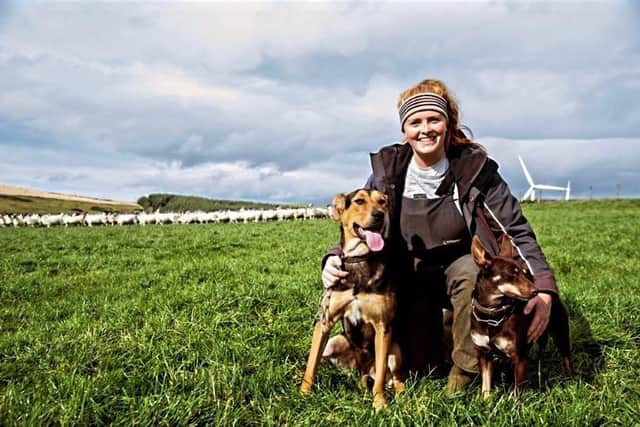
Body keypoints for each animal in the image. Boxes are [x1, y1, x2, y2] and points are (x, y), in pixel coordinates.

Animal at [302, 190, 402, 412]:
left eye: (382, 202)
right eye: (359, 201)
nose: (379, 215)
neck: (359, 258)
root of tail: (362, 369)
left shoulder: (383, 327)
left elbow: (380, 377)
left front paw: (380, 403)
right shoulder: (324, 322)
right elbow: (311, 364)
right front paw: (302, 394)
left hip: (395, 349)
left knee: (396, 378)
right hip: (334, 342)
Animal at [470, 236, 568, 400]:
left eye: (524, 272)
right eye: (512, 274)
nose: (536, 291)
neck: (493, 315)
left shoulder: (519, 357)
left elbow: (518, 393)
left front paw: (514, 406)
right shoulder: (484, 355)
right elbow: (486, 387)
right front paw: (486, 403)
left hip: (561, 332)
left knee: (567, 359)